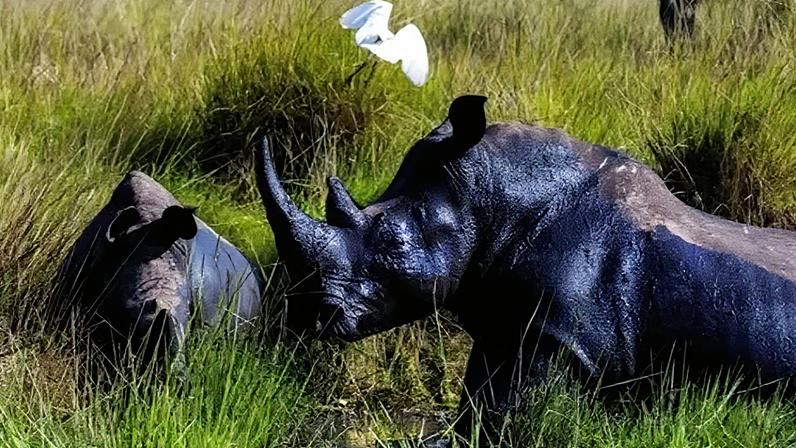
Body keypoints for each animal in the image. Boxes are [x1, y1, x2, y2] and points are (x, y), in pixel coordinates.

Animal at [256, 95, 796, 444]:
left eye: (390, 239)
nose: (307, 312)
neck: (487, 200)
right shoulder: (504, 323)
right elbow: (477, 406)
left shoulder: (556, 335)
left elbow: (513, 417)